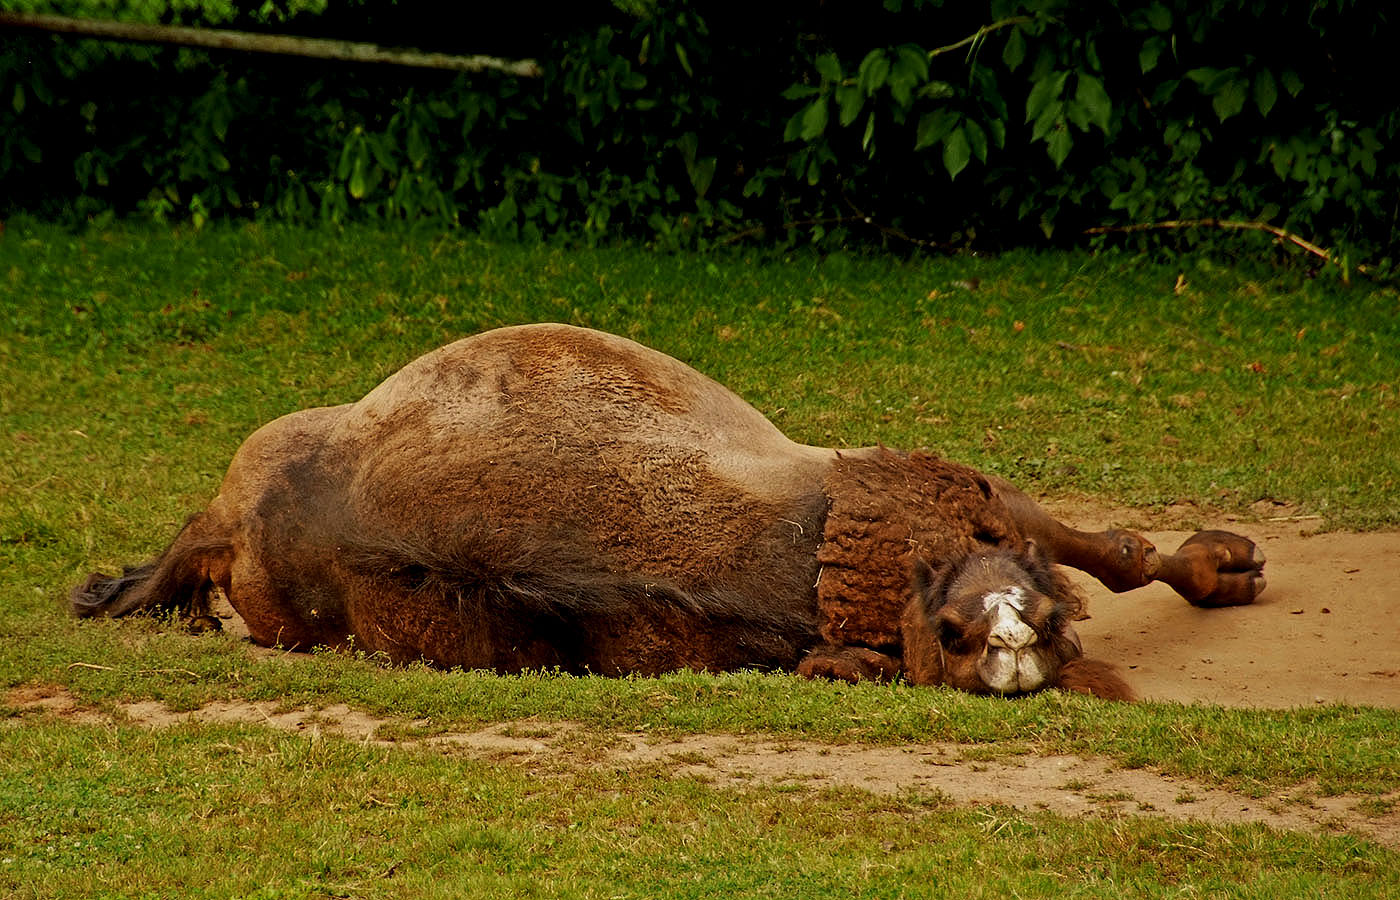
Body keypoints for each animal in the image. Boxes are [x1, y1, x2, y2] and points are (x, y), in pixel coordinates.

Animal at [71, 326, 1265, 705]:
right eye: (953, 634)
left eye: (1031, 631)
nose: (1005, 637)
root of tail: (228, 522)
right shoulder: (949, 490)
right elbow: (1114, 551)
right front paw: (1225, 564)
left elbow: (1110, 552)